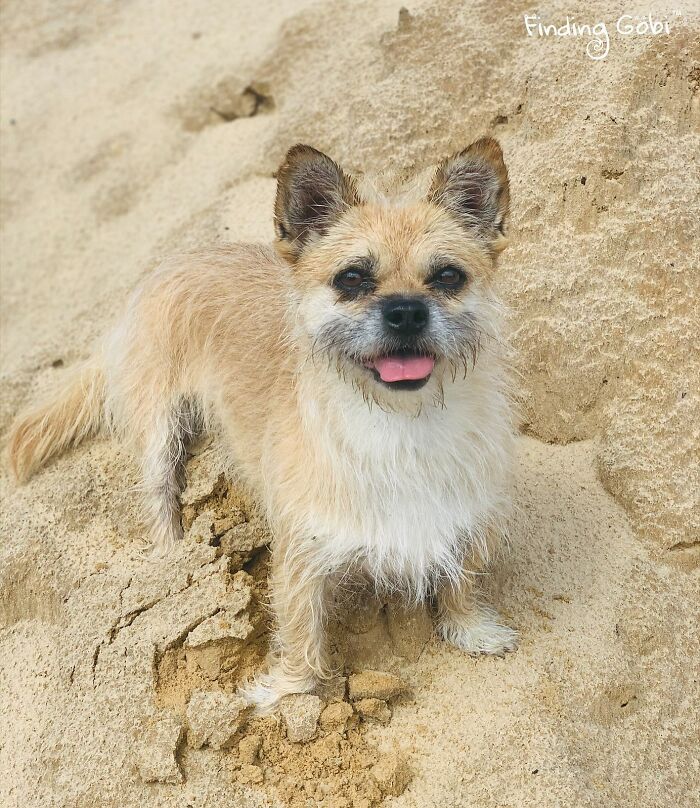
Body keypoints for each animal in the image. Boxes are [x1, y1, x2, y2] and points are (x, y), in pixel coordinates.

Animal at [8, 139, 516, 708]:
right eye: (352, 279)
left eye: (448, 276)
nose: (405, 311)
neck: (400, 426)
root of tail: (166, 267)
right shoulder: (301, 553)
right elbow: (301, 630)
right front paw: (288, 693)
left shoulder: (465, 518)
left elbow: (463, 579)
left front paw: (472, 630)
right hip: (160, 426)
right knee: (158, 489)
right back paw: (173, 557)